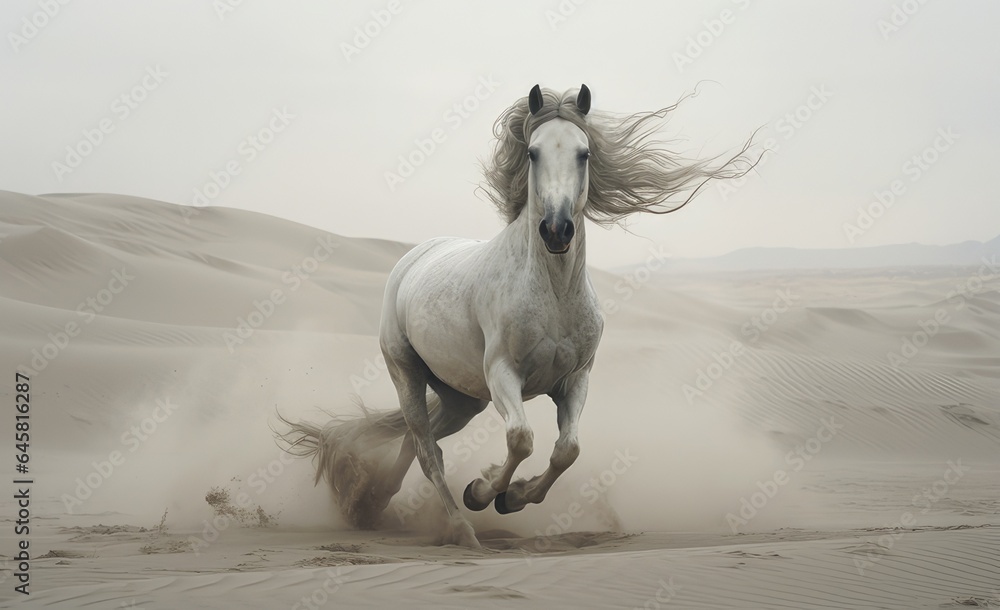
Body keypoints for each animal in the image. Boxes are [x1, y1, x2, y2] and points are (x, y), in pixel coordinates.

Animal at [280, 84, 756, 548]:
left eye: (585, 153)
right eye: (533, 152)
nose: (557, 230)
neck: (554, 295)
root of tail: (414, 257)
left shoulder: (575, 380)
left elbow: (568, 450)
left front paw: (513, 498)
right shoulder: (503, 375)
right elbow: (521, 440)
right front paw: (483, 491)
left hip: (462, 398)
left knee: (419, 442)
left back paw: (372, 503)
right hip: (408, 373)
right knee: (427, 451)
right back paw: (461, 529)